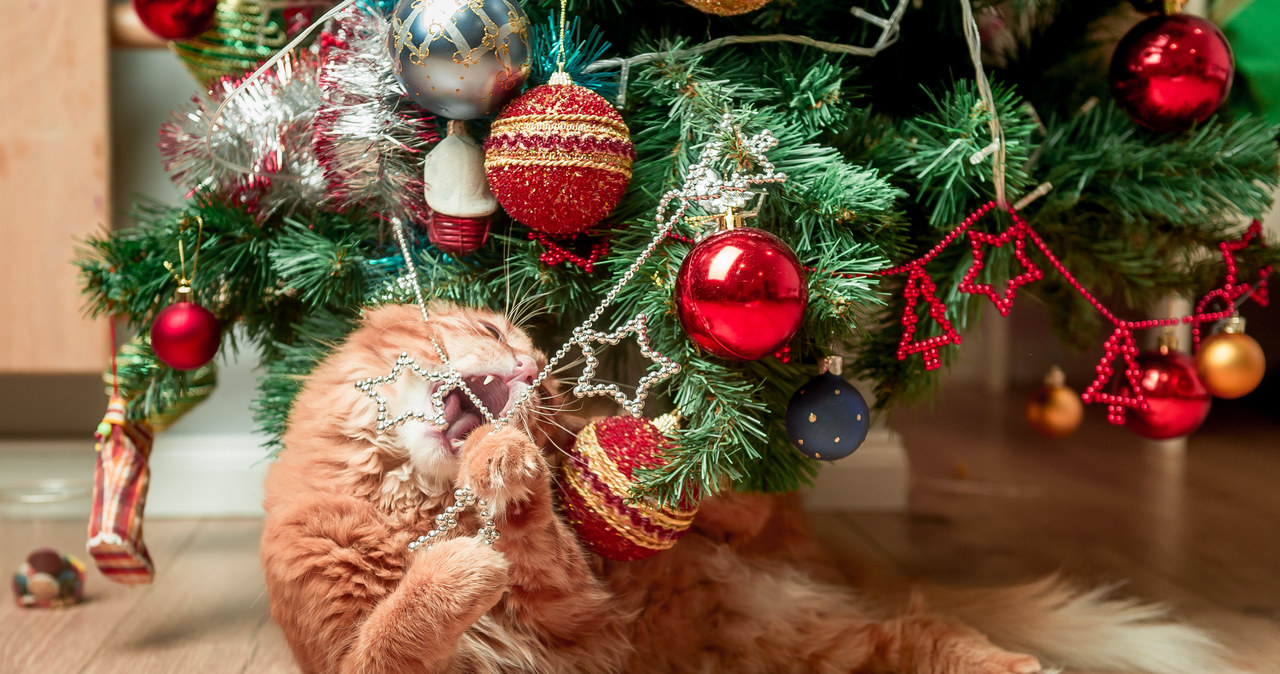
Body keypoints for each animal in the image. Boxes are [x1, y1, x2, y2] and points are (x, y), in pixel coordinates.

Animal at [259, 305, 1228, 674]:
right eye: (495, 329)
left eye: (547, 379)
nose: (537, 371)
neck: (418, 507)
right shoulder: (351, 657)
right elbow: (399, 624)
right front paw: (462, 564)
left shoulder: (576, 608)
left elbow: (537, 540)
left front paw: (510, 467)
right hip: (846, 652)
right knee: (928, 637)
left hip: (752, 532)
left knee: (743, 500)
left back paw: (691, 450)